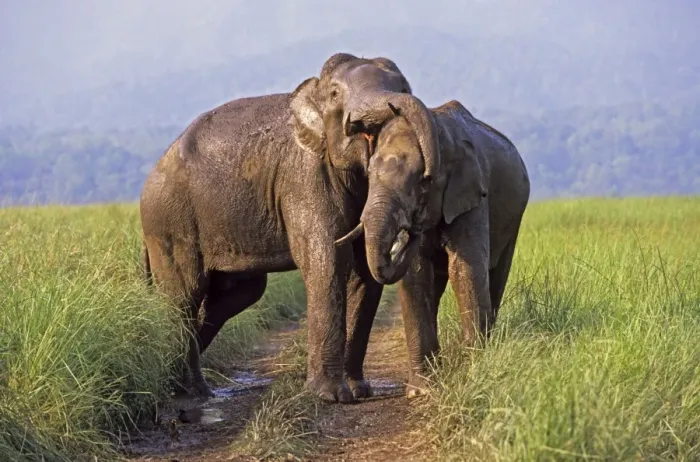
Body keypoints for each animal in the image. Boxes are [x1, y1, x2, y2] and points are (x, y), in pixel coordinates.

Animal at [139, 52, 440, 402]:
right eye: (335, 95)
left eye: (404, 86)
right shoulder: (305, 177)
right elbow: (327, 262)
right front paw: (330, 397)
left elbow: (364, 273)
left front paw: (358, 392)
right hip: (169, 221)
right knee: (183, 295)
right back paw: (185, 393)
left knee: (237, 294)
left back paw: (190, 386)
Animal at [336, 99, 530, 395]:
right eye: (369, 176)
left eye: (424, 181)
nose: (411, 229)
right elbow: (417, 276)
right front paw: (421, 390)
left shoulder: (472, 194)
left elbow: (465, 270)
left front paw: (472, 374)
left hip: (514, 218)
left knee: (497, 274)